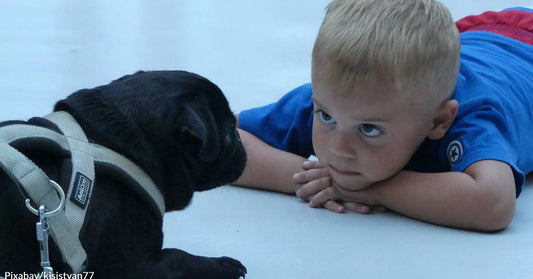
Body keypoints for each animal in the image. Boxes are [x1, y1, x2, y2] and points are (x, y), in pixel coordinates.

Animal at [0, 71, 247, 279]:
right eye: (229, 134)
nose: (240, 140)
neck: (106, 141)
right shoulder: (134, 265)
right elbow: (181, 259)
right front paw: (223, 265)